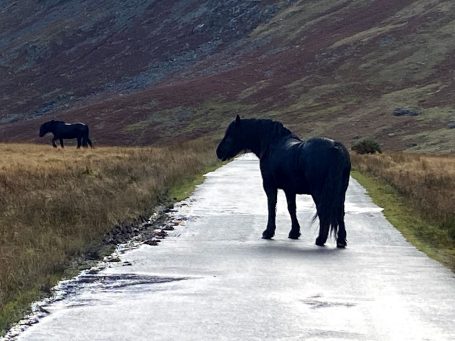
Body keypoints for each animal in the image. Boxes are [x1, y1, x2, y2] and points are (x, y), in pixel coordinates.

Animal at [217, 116, 352, 247]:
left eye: (230, 134)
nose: (218, 152)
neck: (272, 145)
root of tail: (335, 147)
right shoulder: (289, 190)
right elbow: (291, 208)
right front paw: (294, 232)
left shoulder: (269, 186)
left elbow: (271, 206)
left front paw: (268, 232)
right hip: (340, 192)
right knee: (340, 211)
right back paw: (341, 241)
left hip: (319, 192)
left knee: (323, 211)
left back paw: (320, 239)